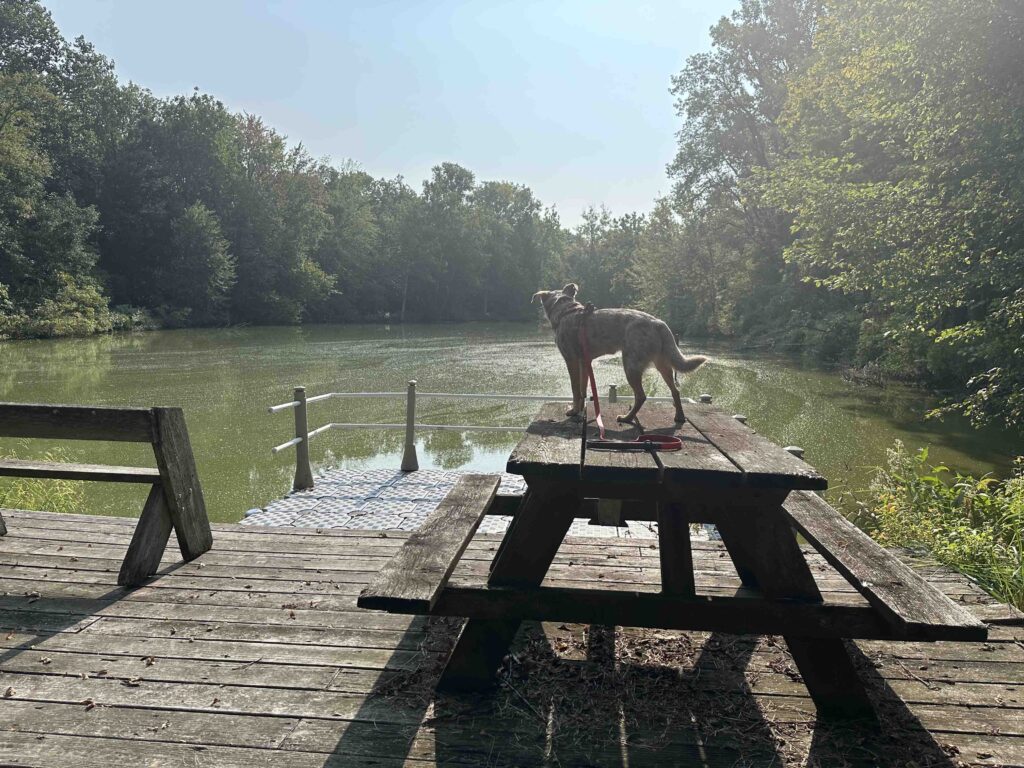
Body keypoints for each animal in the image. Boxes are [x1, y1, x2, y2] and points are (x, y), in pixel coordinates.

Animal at [532, 284, 708, 423]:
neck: (566, 312)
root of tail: (659, 323)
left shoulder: (571, 360)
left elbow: (575, 390)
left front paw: (574, 411)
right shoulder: (584, 362)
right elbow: (582, 391)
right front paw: (580, 410)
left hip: (631, 365)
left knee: (641, 396)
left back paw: (627, 418)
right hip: (663, 364)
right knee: (675, 391)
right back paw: (679, 416)